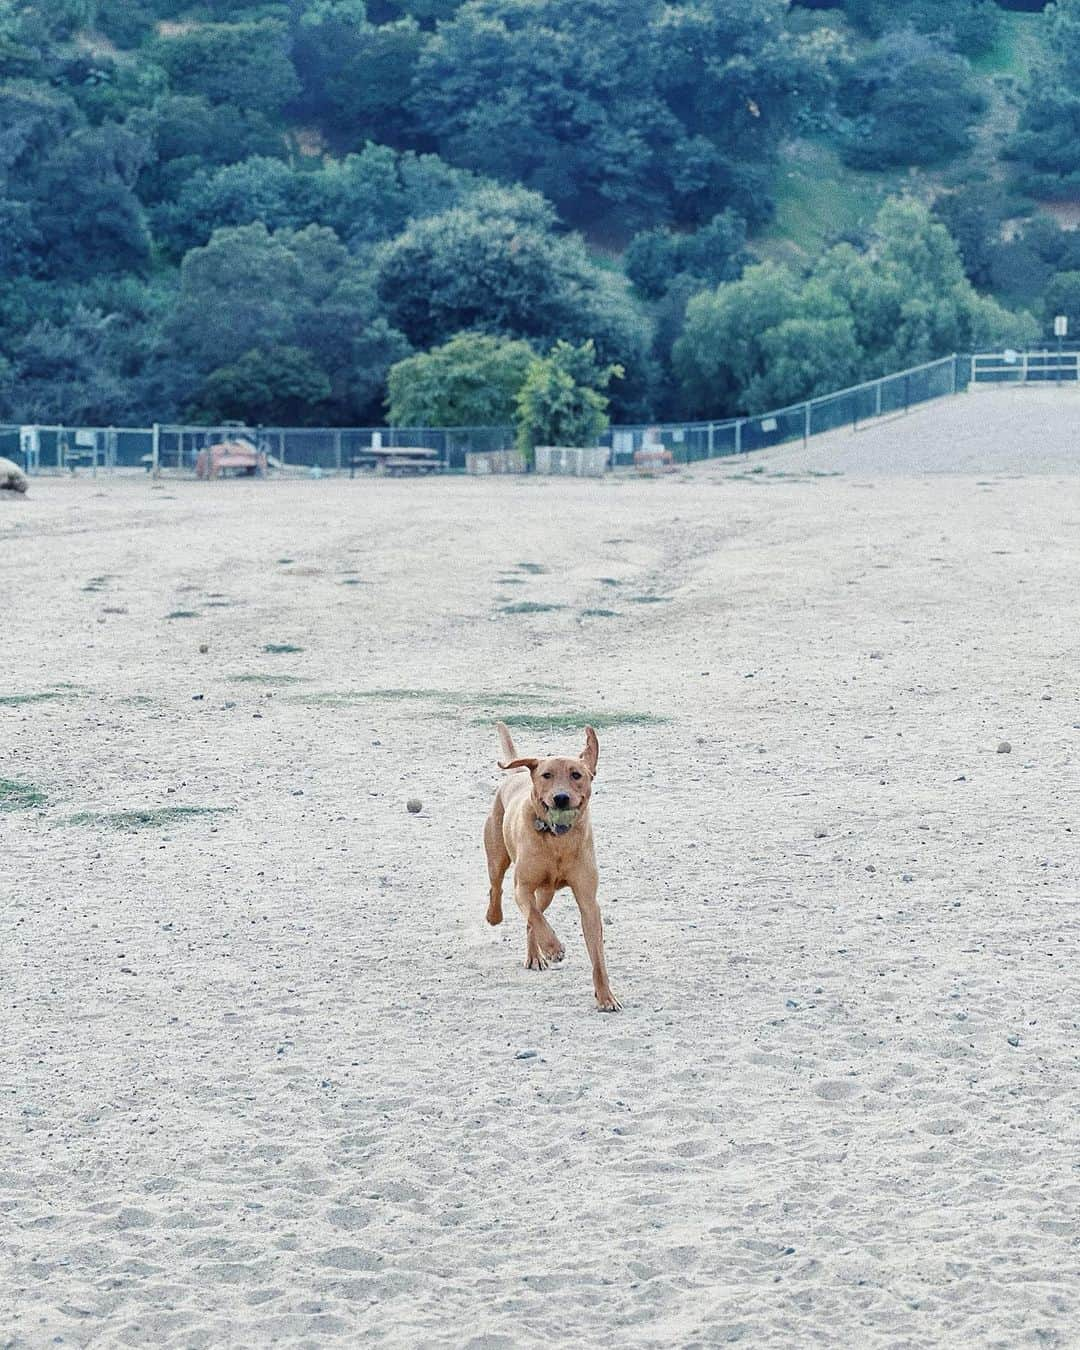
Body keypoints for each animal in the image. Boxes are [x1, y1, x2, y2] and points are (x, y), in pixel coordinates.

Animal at [483, 723, 621, 1009]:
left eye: (576, 774)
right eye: (546, 775)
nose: (561, 797)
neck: (558, 842)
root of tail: (516, 774)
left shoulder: (588, 902)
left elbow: (597, 957)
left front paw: (606, 996)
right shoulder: (522, 888)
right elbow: (535, 917)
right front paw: (554, 948)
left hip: (546, 892)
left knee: (531, 919)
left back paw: (534, 956)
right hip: (497, 856)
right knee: (497, 888)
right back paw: (494, 916)